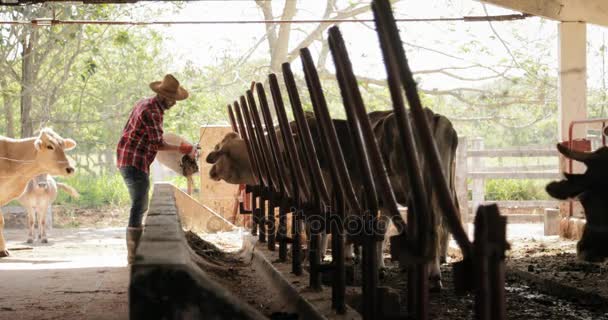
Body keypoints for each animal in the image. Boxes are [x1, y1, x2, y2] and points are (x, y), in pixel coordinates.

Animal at [207, 107, 458, 290]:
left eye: (219, 150)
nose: (211, 171)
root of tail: (431, 115)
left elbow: (317, 228)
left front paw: (314, 261)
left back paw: (432, 275)